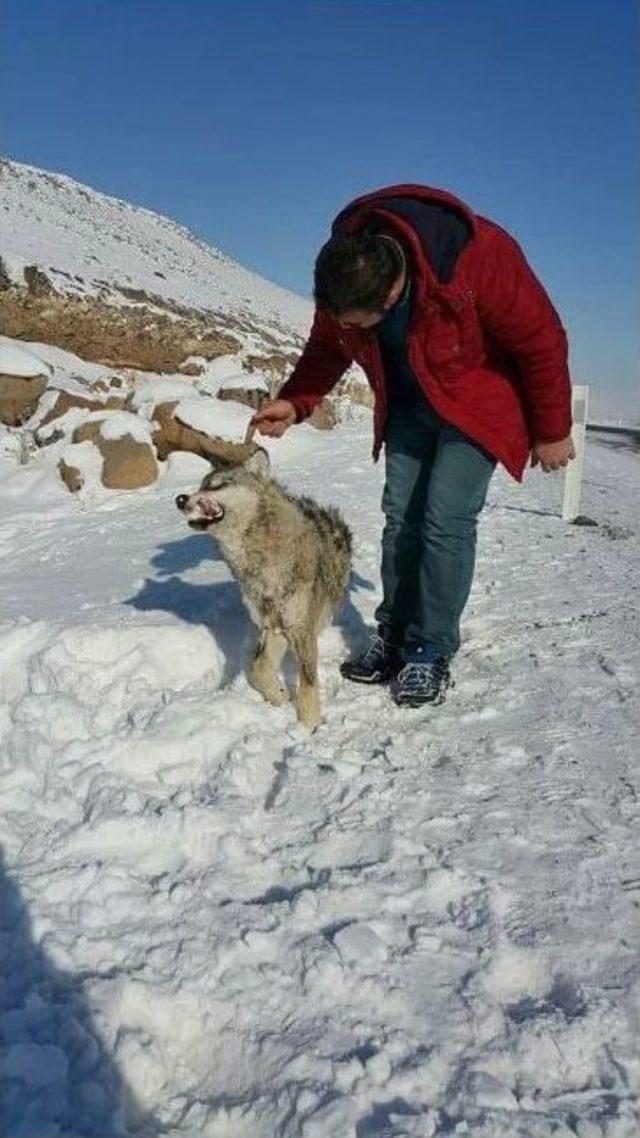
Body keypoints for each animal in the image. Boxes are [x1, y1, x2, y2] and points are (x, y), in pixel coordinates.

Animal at [176, 443, 350, 728]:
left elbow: (307, 684)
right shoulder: (273, 626)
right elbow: (258, 670)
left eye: (218, 485)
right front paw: (278, 696)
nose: (180, 499)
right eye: (201, 485)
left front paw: (309, 726)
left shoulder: (300, 628)